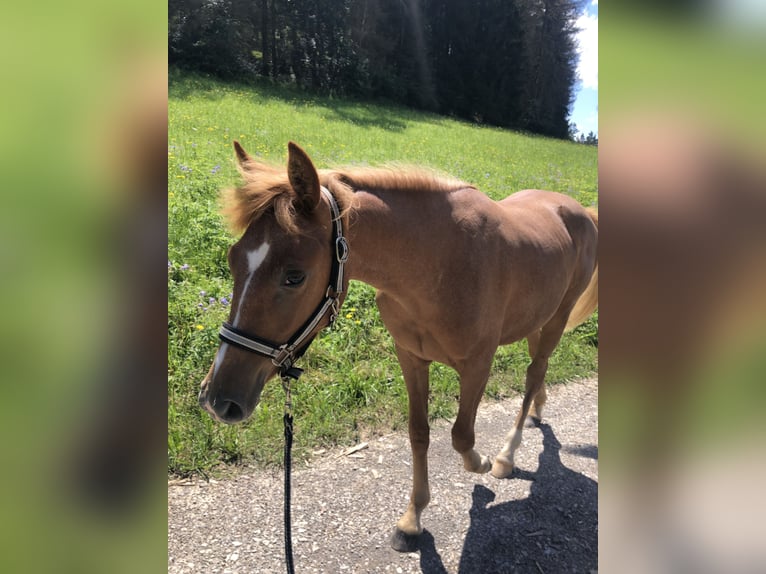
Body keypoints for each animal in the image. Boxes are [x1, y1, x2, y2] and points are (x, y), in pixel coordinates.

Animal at [198, 141, 600, 552]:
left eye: (294, 276)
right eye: (233, 259)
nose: (217, 400)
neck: (439, 262)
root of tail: (583, 213)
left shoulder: (477, 364)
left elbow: (461, 436)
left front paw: (483, 465)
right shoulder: (411, 357)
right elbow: (419, 432)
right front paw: (412, 520)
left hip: (557, 317)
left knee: (534, 374)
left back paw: (506, 455)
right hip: (539, 320)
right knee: (539, 373)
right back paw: (537, 413)